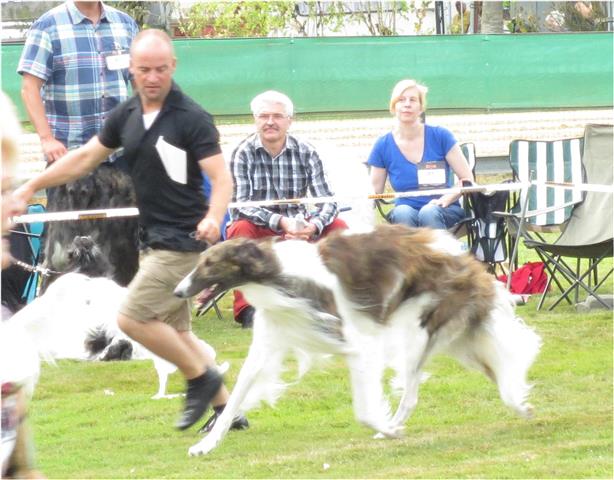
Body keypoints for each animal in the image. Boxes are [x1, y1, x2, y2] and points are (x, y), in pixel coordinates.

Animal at [174, 224, 541, 456]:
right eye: (199, 262)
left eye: (209, 263)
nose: (178, 291)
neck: (278, 276)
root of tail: (468, 260)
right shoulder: (268, 346)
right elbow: (232, 401)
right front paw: (205, 445)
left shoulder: (358, 345)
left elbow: (364, 411)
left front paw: (389, 430)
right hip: (450, 337)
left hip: (418, 332)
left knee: (412, 395)